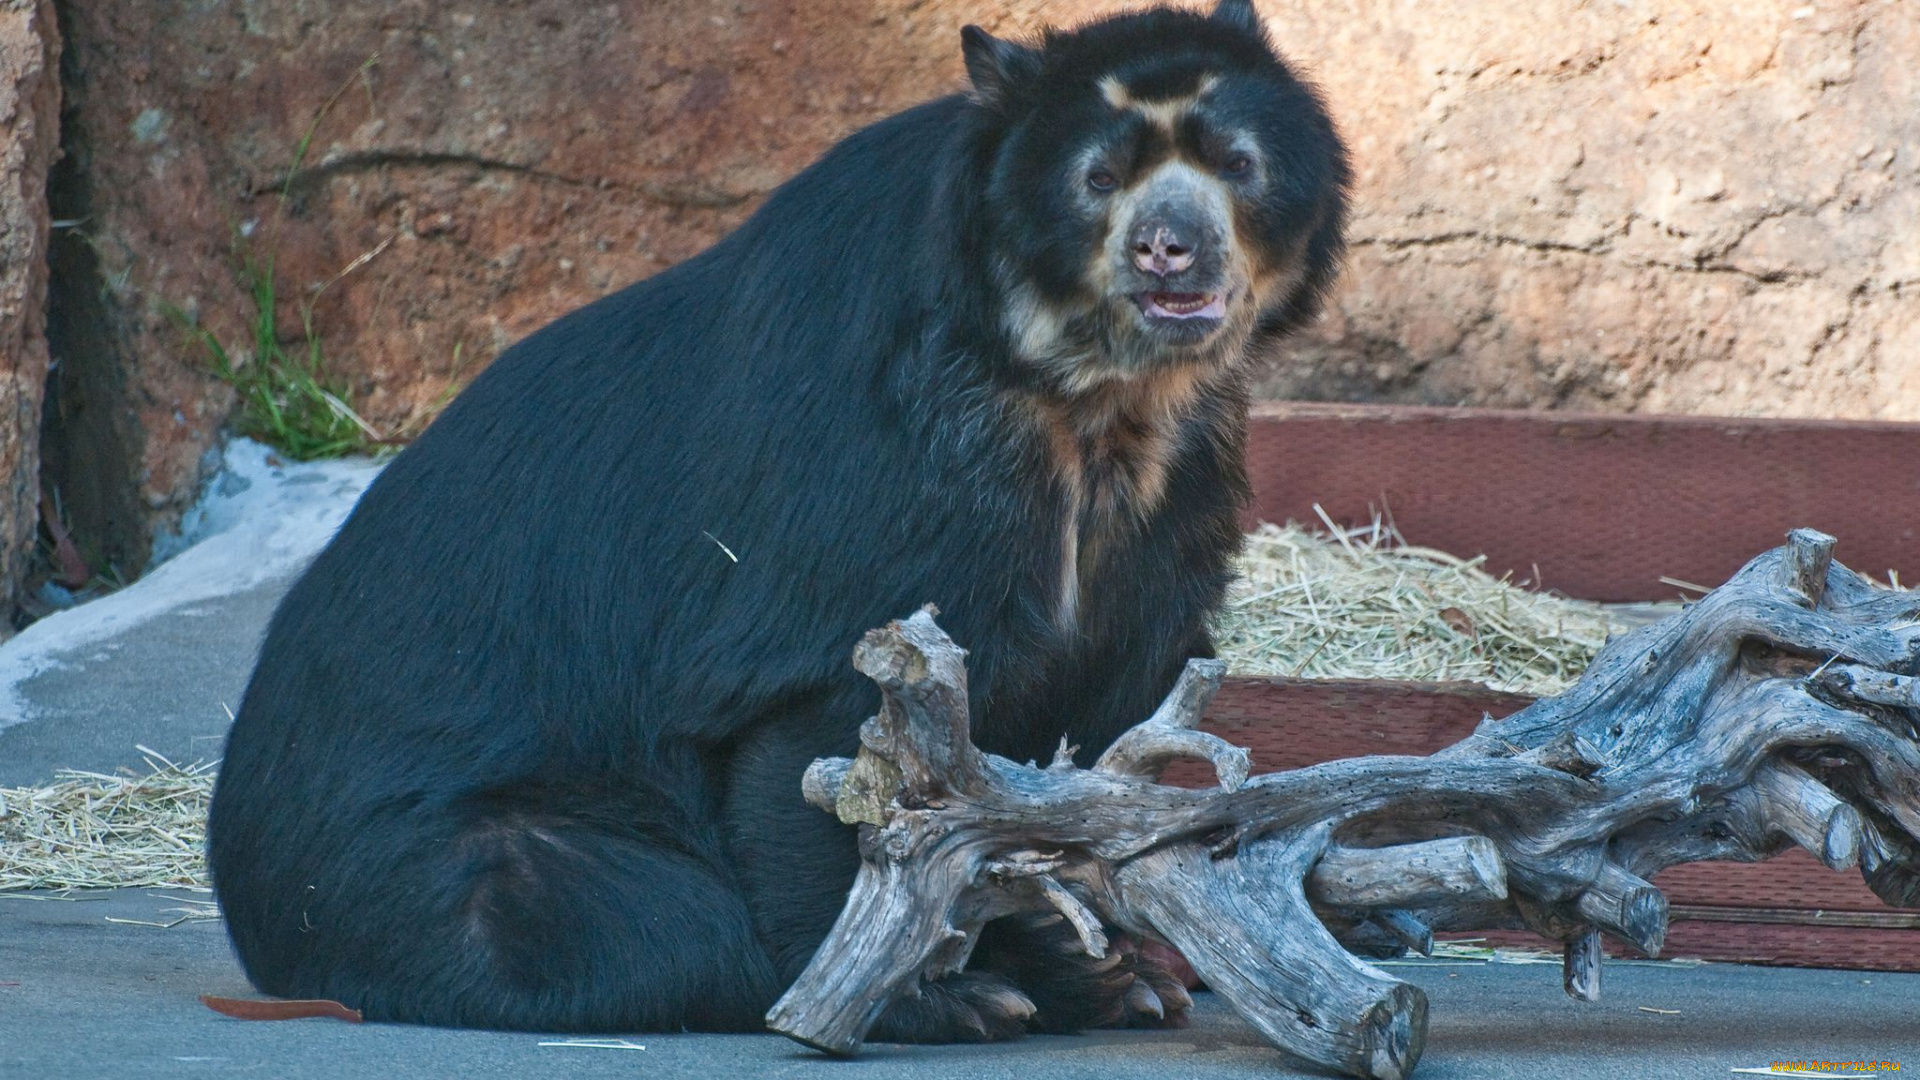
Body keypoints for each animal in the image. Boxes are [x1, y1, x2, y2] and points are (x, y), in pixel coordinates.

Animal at [206, 2, 1351, 1045]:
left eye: (1237, 163)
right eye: (1099, 179)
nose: (1171, 252)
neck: (1088, 387)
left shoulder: (1175, 480)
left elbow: (1122, 696)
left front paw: (1124, 960)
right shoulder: (889, 457)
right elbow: (833, 718)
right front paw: (924, 993)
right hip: (431, 861)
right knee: (647, 925)